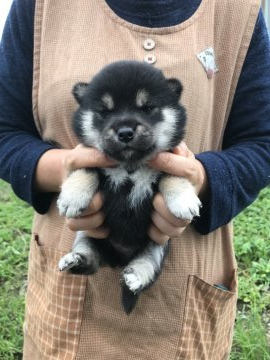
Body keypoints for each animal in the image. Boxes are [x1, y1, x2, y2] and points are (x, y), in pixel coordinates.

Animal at [57, 61, 200, 312]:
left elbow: (172, 176)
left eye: (147, 108)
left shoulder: (170, 159)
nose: (125, 132)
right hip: (87, 236)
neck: (130, 167)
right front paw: (72, 197)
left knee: (146, 267)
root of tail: (119, 259)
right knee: (90, 261)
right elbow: (84, 170)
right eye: (105, 111)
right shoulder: (92, 160)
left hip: (158, 247)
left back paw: (134, 277)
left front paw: (184, 200)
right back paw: (75, 260)